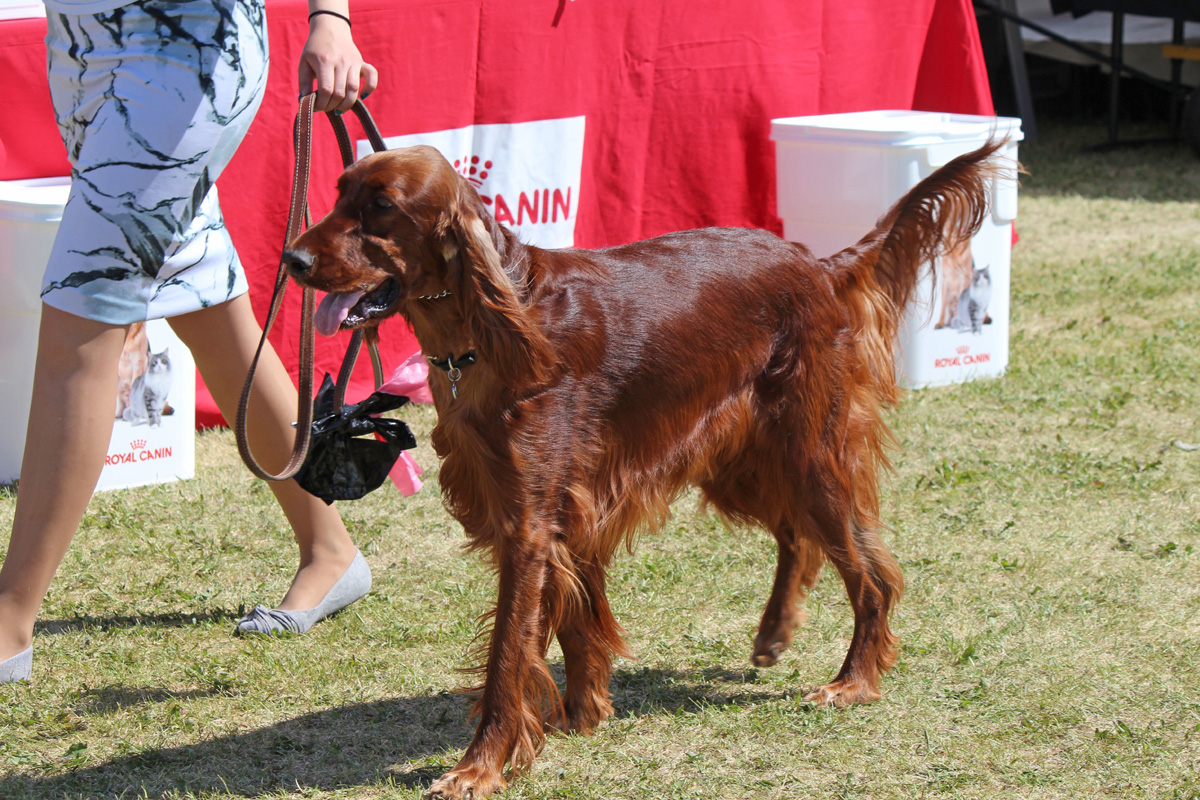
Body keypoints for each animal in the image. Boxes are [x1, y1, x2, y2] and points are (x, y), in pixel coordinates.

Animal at [280, 140, 1003, 796]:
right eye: (339, 193)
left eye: (382, 206)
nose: (292, 259)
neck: (492, 331)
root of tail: (820, 266)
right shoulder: (566, 514)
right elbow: (575, 621)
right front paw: (582, 714)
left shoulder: (530, 525)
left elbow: (509, 653)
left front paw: (480, 767)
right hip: (743, 462)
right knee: (800, 538)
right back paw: (775, 634)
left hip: (809, 454)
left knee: (870, 572)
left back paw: (855, 681)